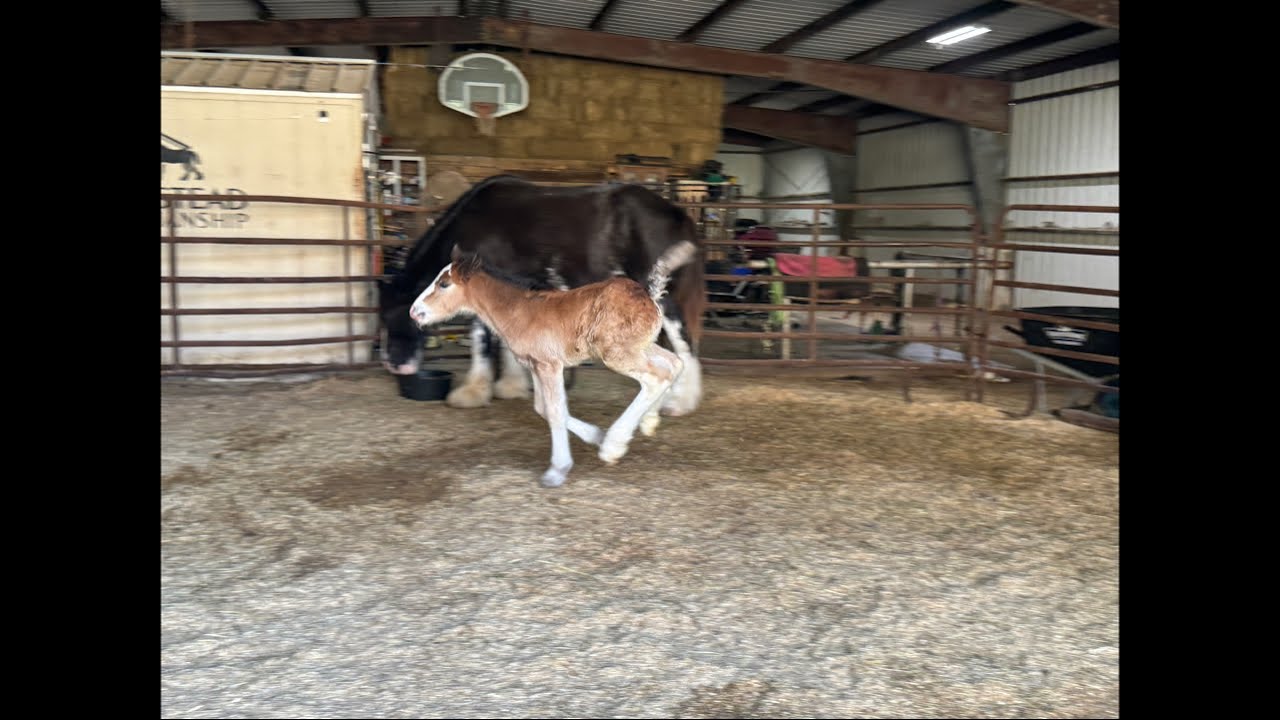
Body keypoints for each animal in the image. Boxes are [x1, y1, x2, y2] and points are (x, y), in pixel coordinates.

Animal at [377, 174, 705, 417]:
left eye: (396, 314)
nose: (396, 366)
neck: (474, 223)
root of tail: (676, 212)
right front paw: (510, 387)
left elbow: (481, 337)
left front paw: (471, 393)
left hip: (660, 293)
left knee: (683, 342)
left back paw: (679, 403)